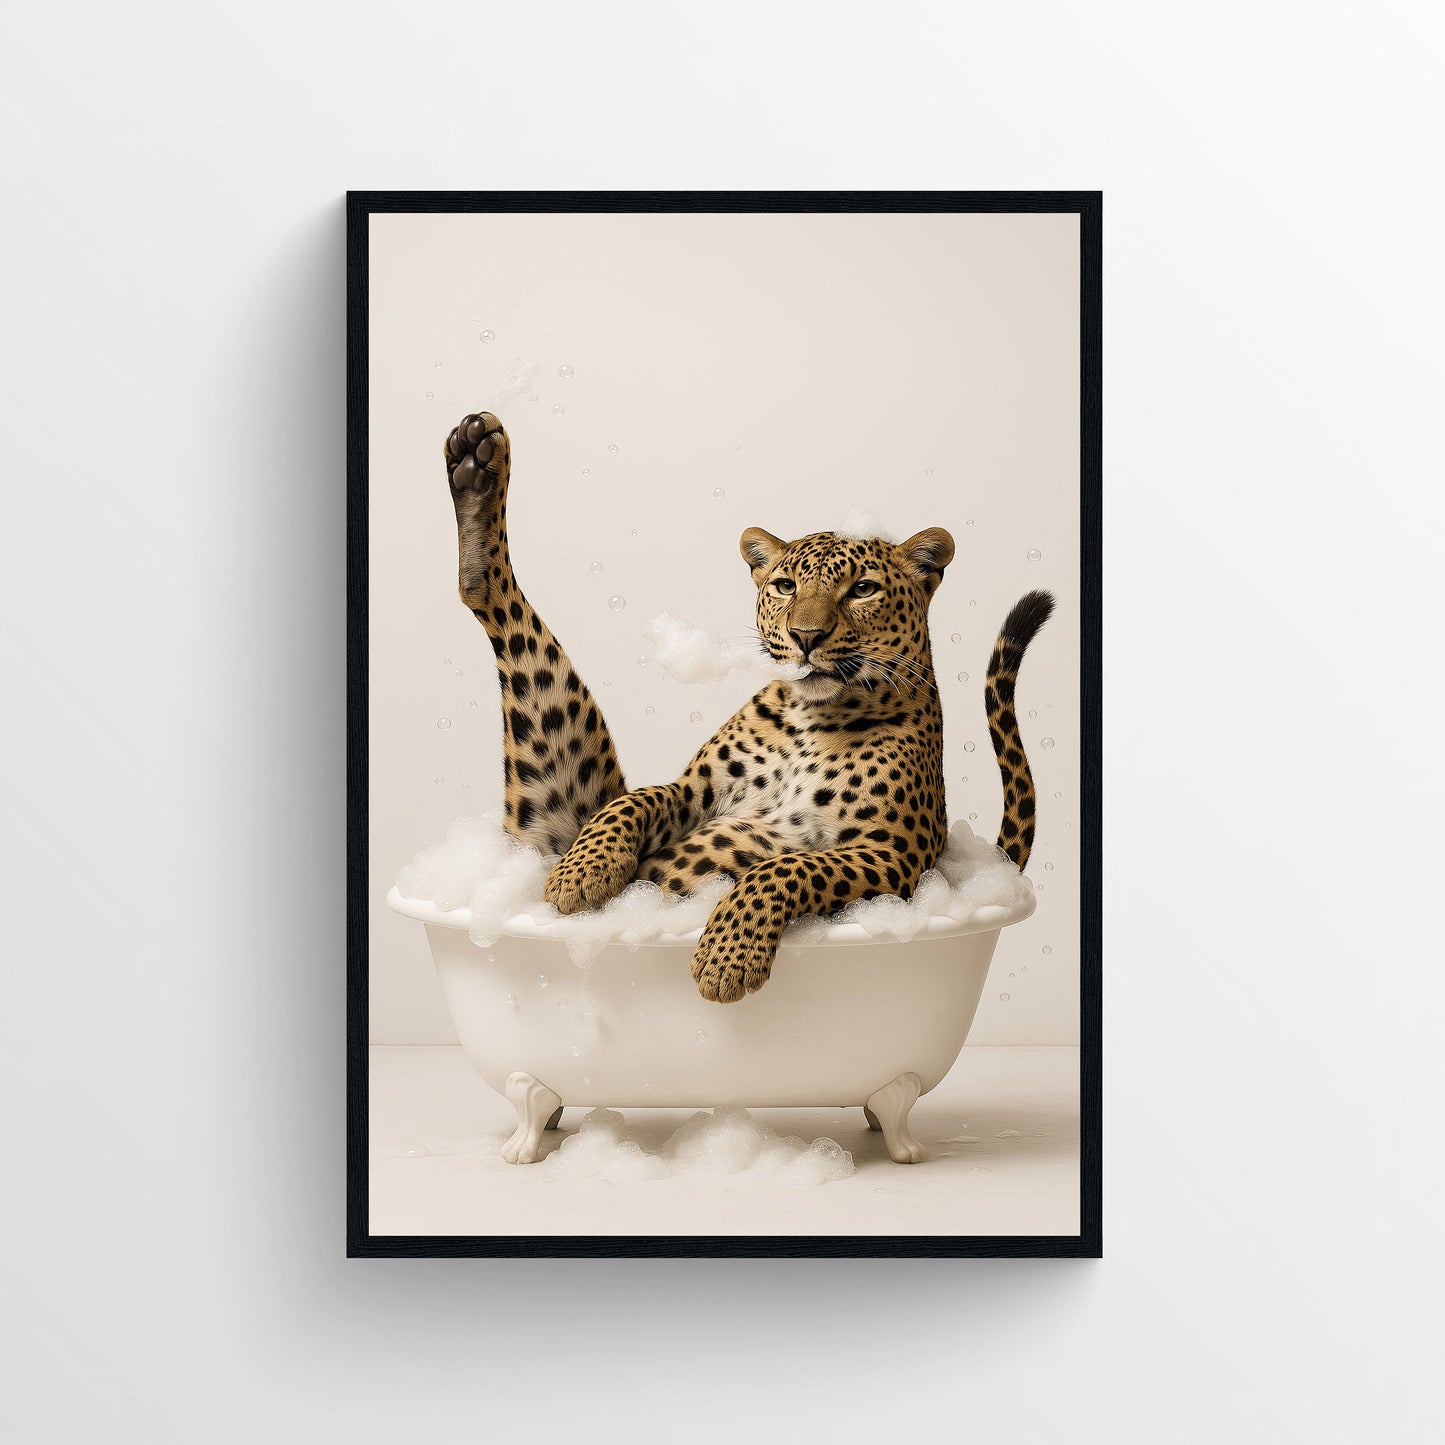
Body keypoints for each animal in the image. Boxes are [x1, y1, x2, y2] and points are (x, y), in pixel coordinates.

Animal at [445, 410, 1053, 1004]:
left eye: (862, 589)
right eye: (784, 585)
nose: (806, 636)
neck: (812, 719)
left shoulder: (892, 853)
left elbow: (787, 866)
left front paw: (726, 957)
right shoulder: (695, 789)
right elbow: (633, 801)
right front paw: (582, 874)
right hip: (546, 818)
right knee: (492, 606)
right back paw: (474, 466)